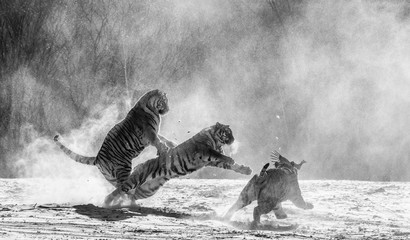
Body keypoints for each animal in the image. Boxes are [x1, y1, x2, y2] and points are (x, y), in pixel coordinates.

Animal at [102, 123, 253, 207]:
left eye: (231, 133)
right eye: (227, 133)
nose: (233, 140)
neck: (217, 141)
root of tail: (140, 165)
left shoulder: (212, 161)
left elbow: (232, 165)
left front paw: (246, 170)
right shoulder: (206, 151)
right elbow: (222, 156)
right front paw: (231, 159)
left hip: (148, 189)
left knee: (131, 195)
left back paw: (127, 205)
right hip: (137, 179)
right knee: (120, 189)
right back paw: (106, 202)